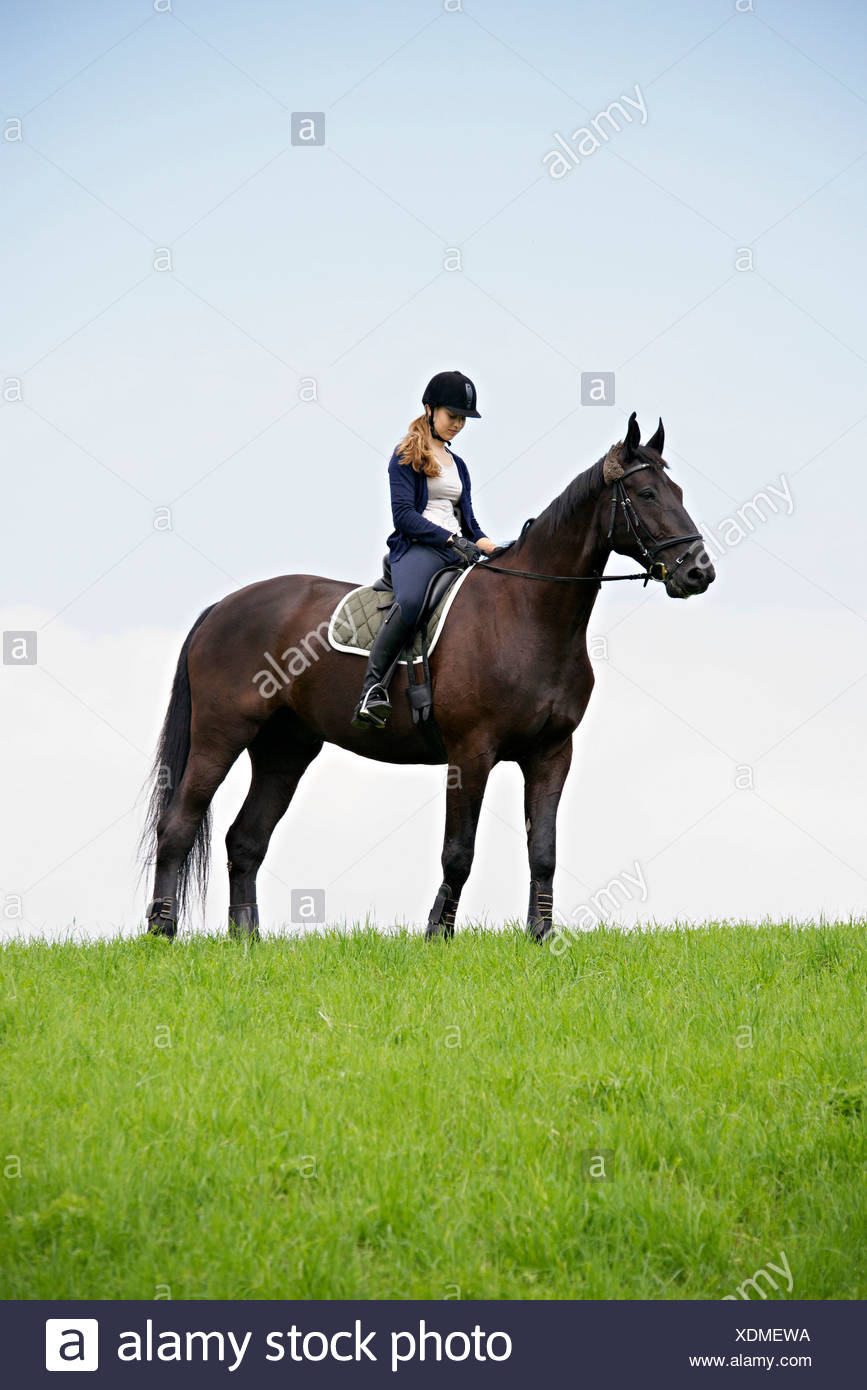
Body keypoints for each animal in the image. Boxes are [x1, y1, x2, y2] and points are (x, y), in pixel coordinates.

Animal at [140, 413, 715, 943]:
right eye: (646, 493)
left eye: (679, 492)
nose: (699, 572)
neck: (529, 612)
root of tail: (222, 607)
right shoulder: (471, 752)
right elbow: (458, 851)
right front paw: (439, 933)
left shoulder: (552, 753)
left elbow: (544, 851)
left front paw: (542, 935)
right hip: (220, 736)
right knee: (179, 824)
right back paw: (162, 929)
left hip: (284, 749)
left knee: (246, 840)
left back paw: (246, 939)